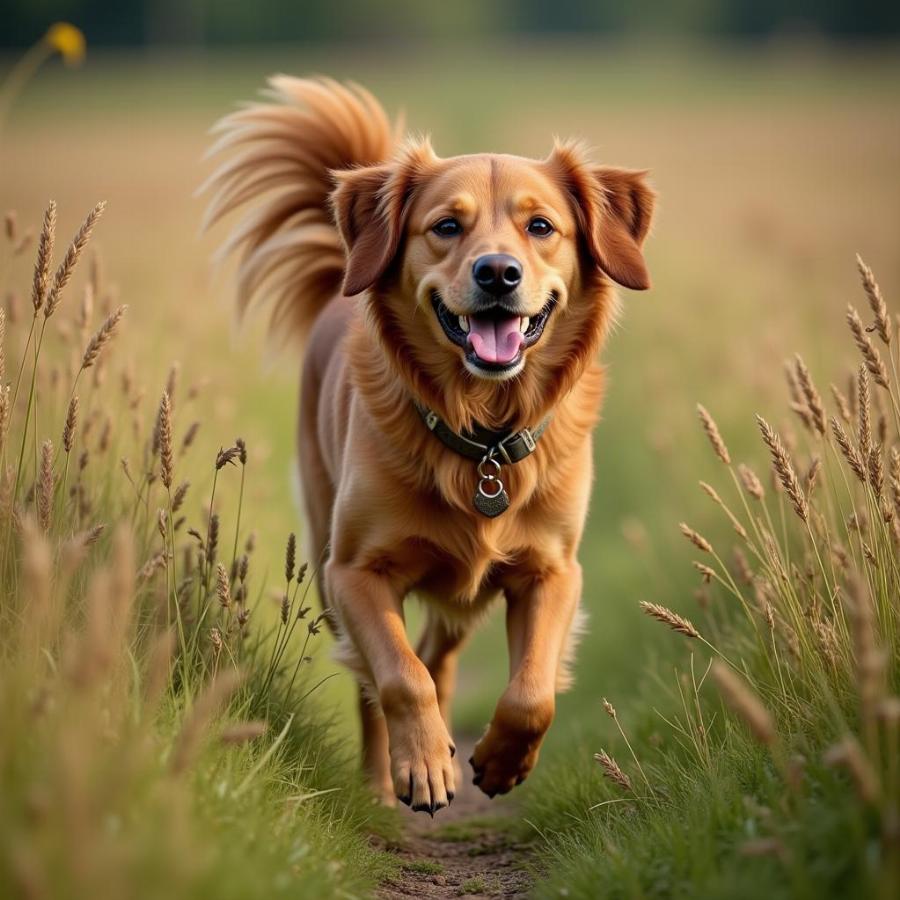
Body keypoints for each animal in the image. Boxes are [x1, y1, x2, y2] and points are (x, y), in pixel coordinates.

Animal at [204, 75, 652, 808]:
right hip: (328, 564)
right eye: (446, 226)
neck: (481, 433)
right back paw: (388, 777)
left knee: (440, 655)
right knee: (383, 678)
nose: (498, 273)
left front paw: (499, 760)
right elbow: (396, 674)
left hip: (462, 594)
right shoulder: (351, 572)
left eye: (541, 227)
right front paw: (421, 765)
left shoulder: (554, 570)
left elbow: (531, 692)